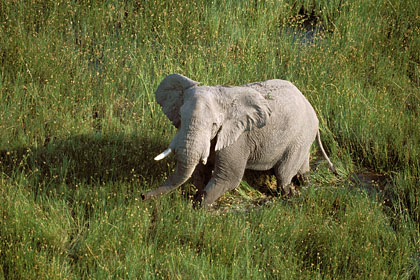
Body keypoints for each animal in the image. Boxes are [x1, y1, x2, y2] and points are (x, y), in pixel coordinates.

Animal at [143, 73, 336, 207]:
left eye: (214, 124)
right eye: (181, 118)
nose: (142, 196)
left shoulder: (238, 137)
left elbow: (228, 177)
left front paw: (199, 207)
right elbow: (200, 171)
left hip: (300, 135)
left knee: (283, 172)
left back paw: (290, 193)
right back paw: (305, 183)